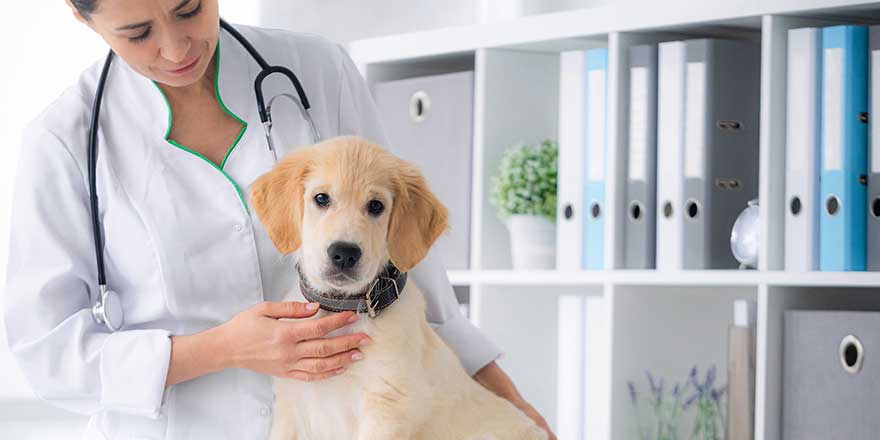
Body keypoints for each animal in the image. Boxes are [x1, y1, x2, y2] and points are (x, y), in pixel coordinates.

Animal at [251, 137, 548, 440]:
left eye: (376, 206)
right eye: (321, 198)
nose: (344, 254)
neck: (342, 307)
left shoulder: (387, 405)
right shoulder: (291, 403)